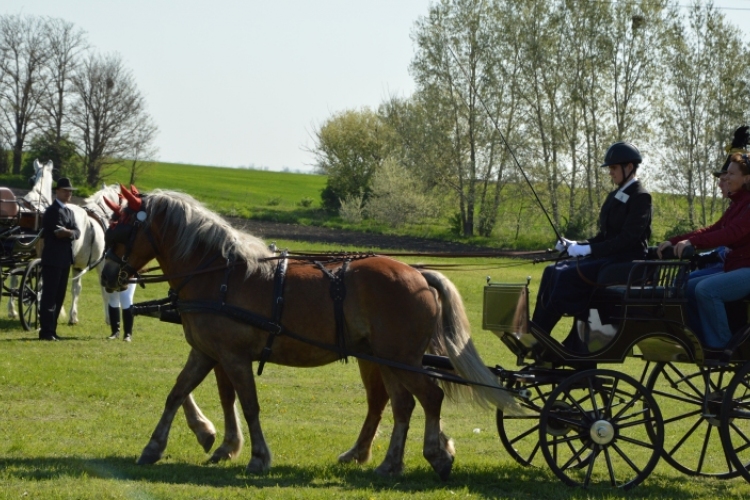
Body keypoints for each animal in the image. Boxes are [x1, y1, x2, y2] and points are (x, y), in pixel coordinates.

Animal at [103, 186, 520, 478]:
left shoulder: (233, 356)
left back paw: (434, 455)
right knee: (401, 404)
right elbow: (178, 394)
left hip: (400, 358)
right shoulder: (207, 351)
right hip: (386, 359)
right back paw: (388, 463)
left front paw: (257, 456)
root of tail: (418, 274)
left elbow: (248, 404)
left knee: (429, 398)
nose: (107, 276)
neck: (218, 272)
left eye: (122, 231)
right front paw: (158, 446)